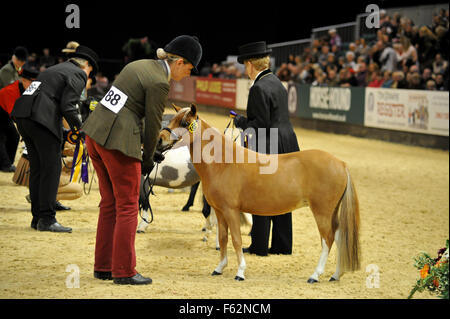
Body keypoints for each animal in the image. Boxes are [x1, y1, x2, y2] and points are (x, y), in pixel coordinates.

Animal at [157, 104, 358, 284]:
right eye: (173, 119)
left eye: (184, 122)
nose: (160, 139)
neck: (224, 163)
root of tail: (340, 164)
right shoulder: (220, 212)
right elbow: (223, 239)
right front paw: (219, 268)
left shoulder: (231, 211)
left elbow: (236, 240)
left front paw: (240, 272)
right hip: (331, 212)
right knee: (339, 237)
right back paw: (335, 275)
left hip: (322, 212)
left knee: (328, 239)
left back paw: (315, 275)